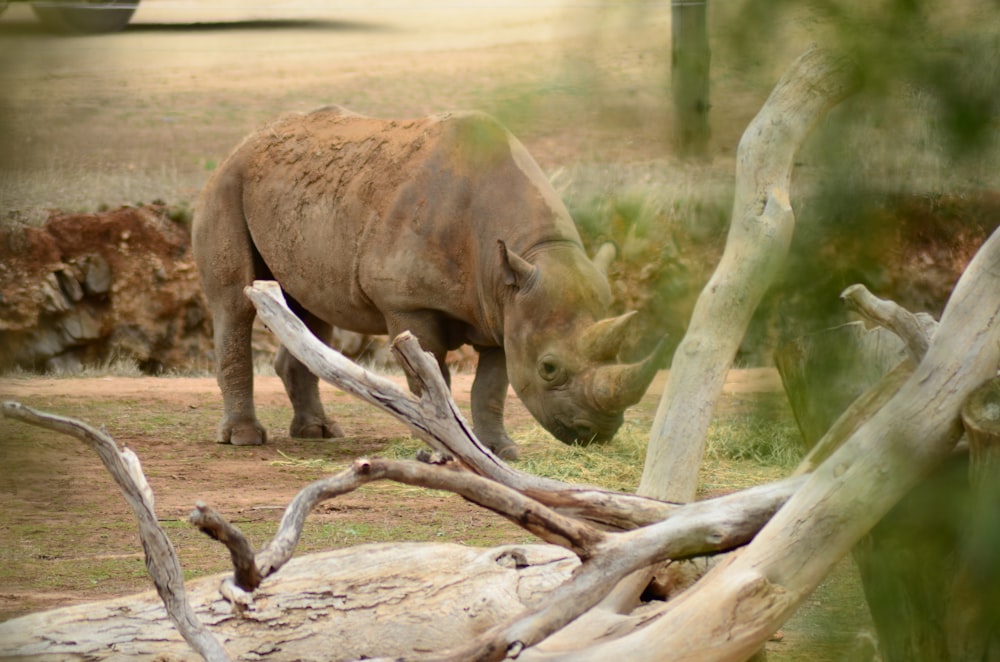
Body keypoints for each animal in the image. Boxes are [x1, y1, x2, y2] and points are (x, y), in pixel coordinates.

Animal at [194, 109, 664, 462]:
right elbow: (430, 375)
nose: (596, 433)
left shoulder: (501, 310)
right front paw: (440, 445)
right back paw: (244, 438)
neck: (529, 255)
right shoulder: (409, 302)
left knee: (309, 312)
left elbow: (491, 387)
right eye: (549, 368)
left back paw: (320, 432)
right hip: (227, 184)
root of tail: (247, 140)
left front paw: (500, 451)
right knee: (235, 304)